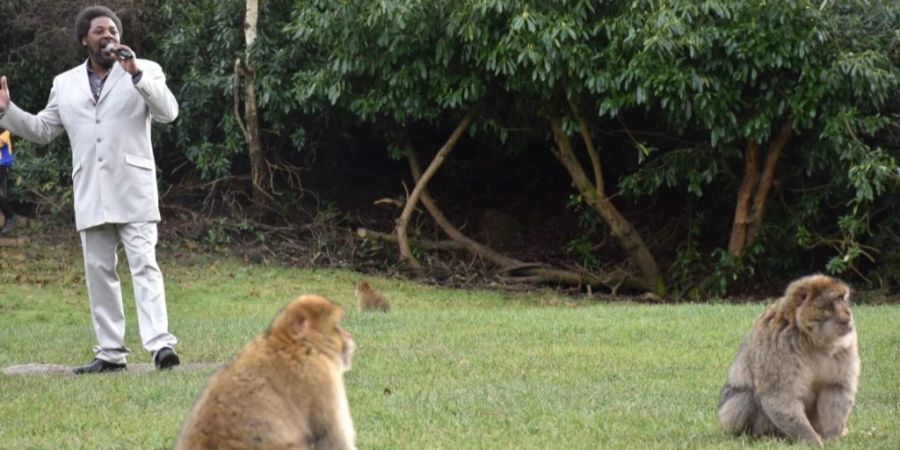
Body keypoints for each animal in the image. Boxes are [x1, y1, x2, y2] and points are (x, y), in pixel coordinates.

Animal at [716, 274, 856, 446]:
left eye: (843, 298)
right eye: (836, 299)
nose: (848, 312)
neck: (809, 338)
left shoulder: (846, 343)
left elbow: (835, 387)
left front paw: (832, 438)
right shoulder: (777, 342)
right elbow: (780, 397)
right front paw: (813, 441)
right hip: (728, 417)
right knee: (745, 398)